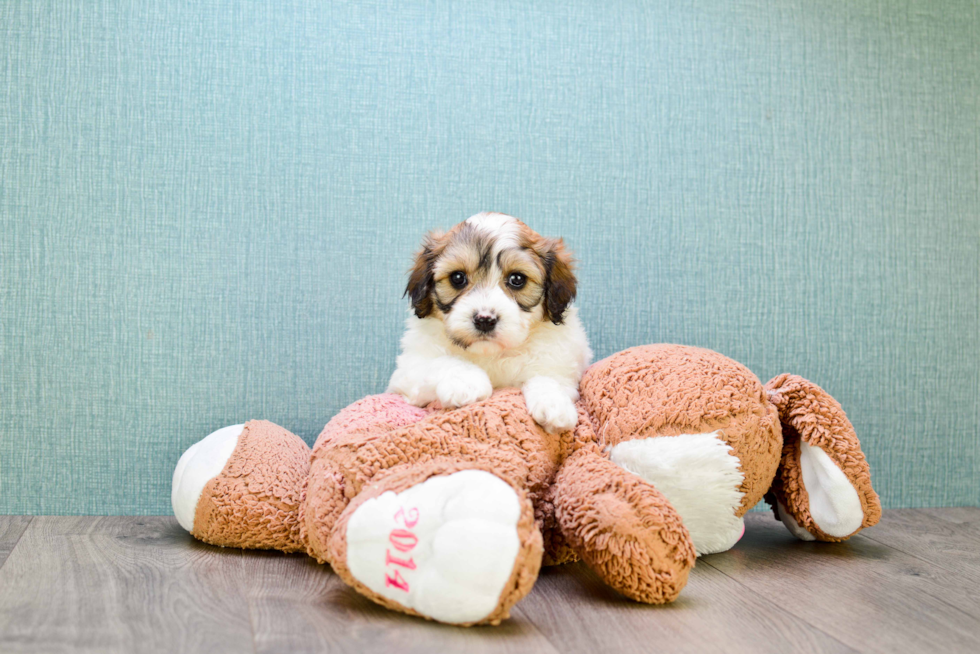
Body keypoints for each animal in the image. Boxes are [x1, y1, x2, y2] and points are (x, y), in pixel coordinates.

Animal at [388, 213, 588, 434]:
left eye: (517, 279)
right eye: (457, 278)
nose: (484, 320)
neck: (490, 353)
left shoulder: (562, 365)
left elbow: (548, 376)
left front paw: (554, 404)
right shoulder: (406, 372)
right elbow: (439, 362)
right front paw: (466, 381)